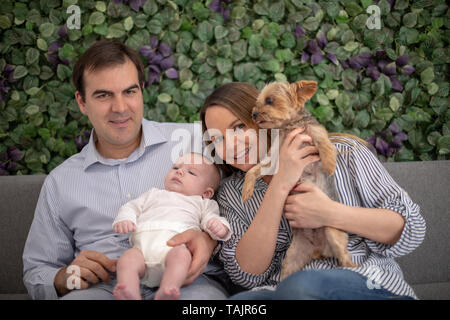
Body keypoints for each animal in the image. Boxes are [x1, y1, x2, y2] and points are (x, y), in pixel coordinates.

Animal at [243, 80, 358, 280]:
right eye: (257, 102)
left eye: (270, 100)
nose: (254, 113)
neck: (289, 126)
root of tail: (318, 249)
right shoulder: (274, 159)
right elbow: (253, 170)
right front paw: (246, 190)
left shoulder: (314, 131)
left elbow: (324, 143)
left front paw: (329, 164)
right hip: (294, 254)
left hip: (332, 233)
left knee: (343, 257)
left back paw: (353, 267)